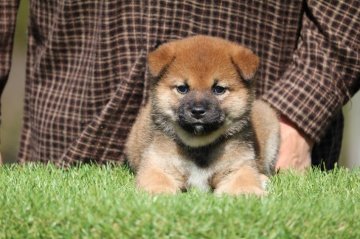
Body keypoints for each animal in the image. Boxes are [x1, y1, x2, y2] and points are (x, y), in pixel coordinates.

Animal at [125, 36, 280, 196]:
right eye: (182, 88)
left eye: (218, 89)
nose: (198, 111)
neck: (200, 146)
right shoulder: (159, 164)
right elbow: (158, 183)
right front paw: (161, 193)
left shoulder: (238, 167)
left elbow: (244, 183)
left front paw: (247, 193)